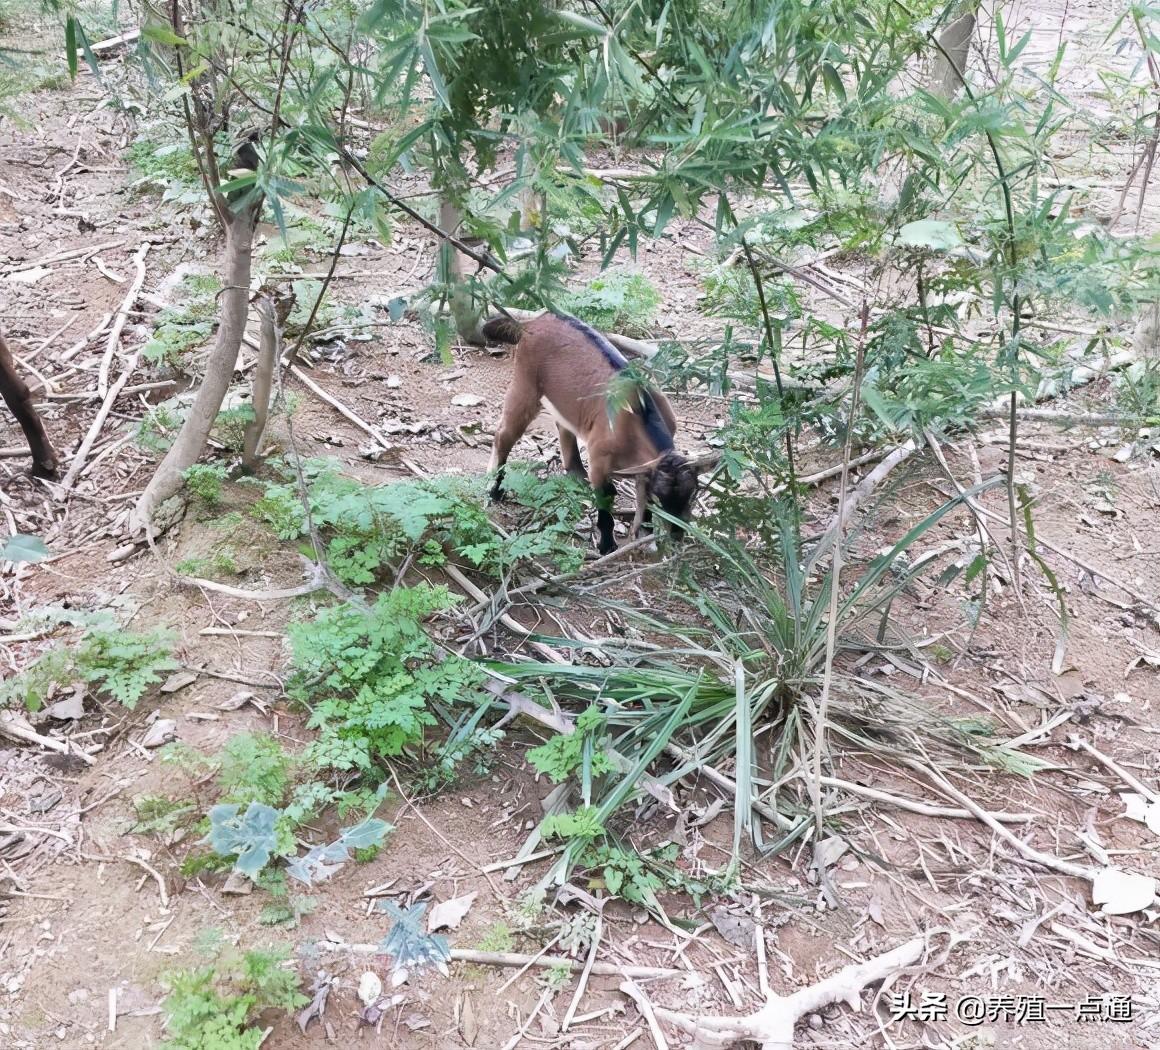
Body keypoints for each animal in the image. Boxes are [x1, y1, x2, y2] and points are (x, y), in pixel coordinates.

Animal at [480, 313, 696, 552]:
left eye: (692, 496)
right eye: (660, 498)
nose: (676, 534)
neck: (638, 416)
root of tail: (531, 323)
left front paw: (645, 535)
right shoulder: (600, 459)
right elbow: (607, 497)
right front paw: (607, 546)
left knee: (563, 425)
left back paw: (576, 473)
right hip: (526, 384)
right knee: (504, 435)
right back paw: (494, 489)